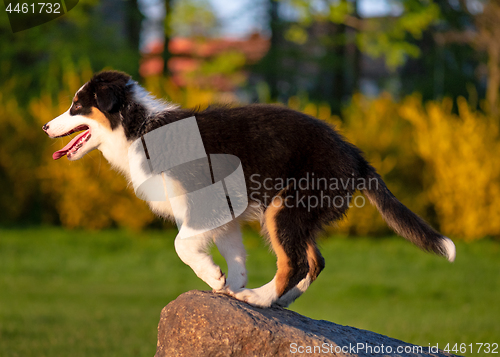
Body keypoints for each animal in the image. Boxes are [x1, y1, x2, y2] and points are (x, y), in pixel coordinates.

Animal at [43, 70, 456, 306]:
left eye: (77, 106)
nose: (46, 127)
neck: (137, 128)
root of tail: (354, 154)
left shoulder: (203, 201)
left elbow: (181, 244)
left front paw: (213, 276)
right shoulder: (223, 211)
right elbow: (234, 253)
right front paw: (229, 285)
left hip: (286, 207)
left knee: (294, 262)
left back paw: (260, 299)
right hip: (299, 212)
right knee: (315, 261)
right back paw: (278, 302)